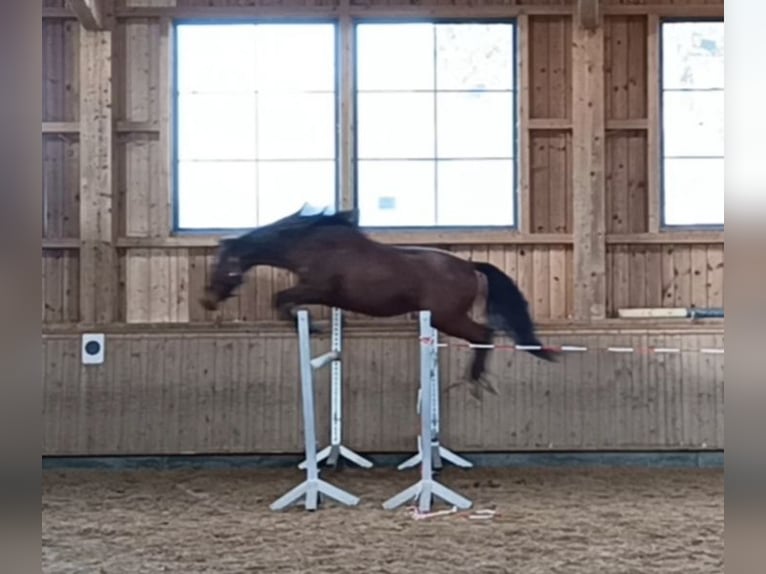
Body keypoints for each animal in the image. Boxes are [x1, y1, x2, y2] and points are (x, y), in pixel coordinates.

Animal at [200, 205, 560, 398]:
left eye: (222, 265)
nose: (207, 301)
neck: (310, 245)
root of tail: (470, 266)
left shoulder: (317, 288)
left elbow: (281, 298)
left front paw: (309, 326)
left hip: (448, 317)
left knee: (484, 335)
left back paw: (474, 381)